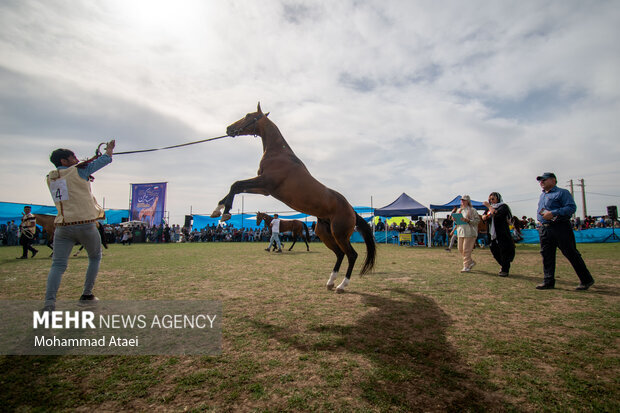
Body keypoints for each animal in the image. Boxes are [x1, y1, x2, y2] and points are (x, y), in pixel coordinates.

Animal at [211, 102, 376, 292]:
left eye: (247, 115)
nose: (228, 128)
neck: (279, 154)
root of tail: (351, 210)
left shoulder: (266, 183)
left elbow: (236, 184)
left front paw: (225, 213)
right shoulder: (263, 188)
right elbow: (235, 187)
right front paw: (218, 210)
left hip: (340, 234)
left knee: (352, 255)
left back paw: (342, 285)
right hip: (325, 234)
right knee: (340, 254)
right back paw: (330, 282)